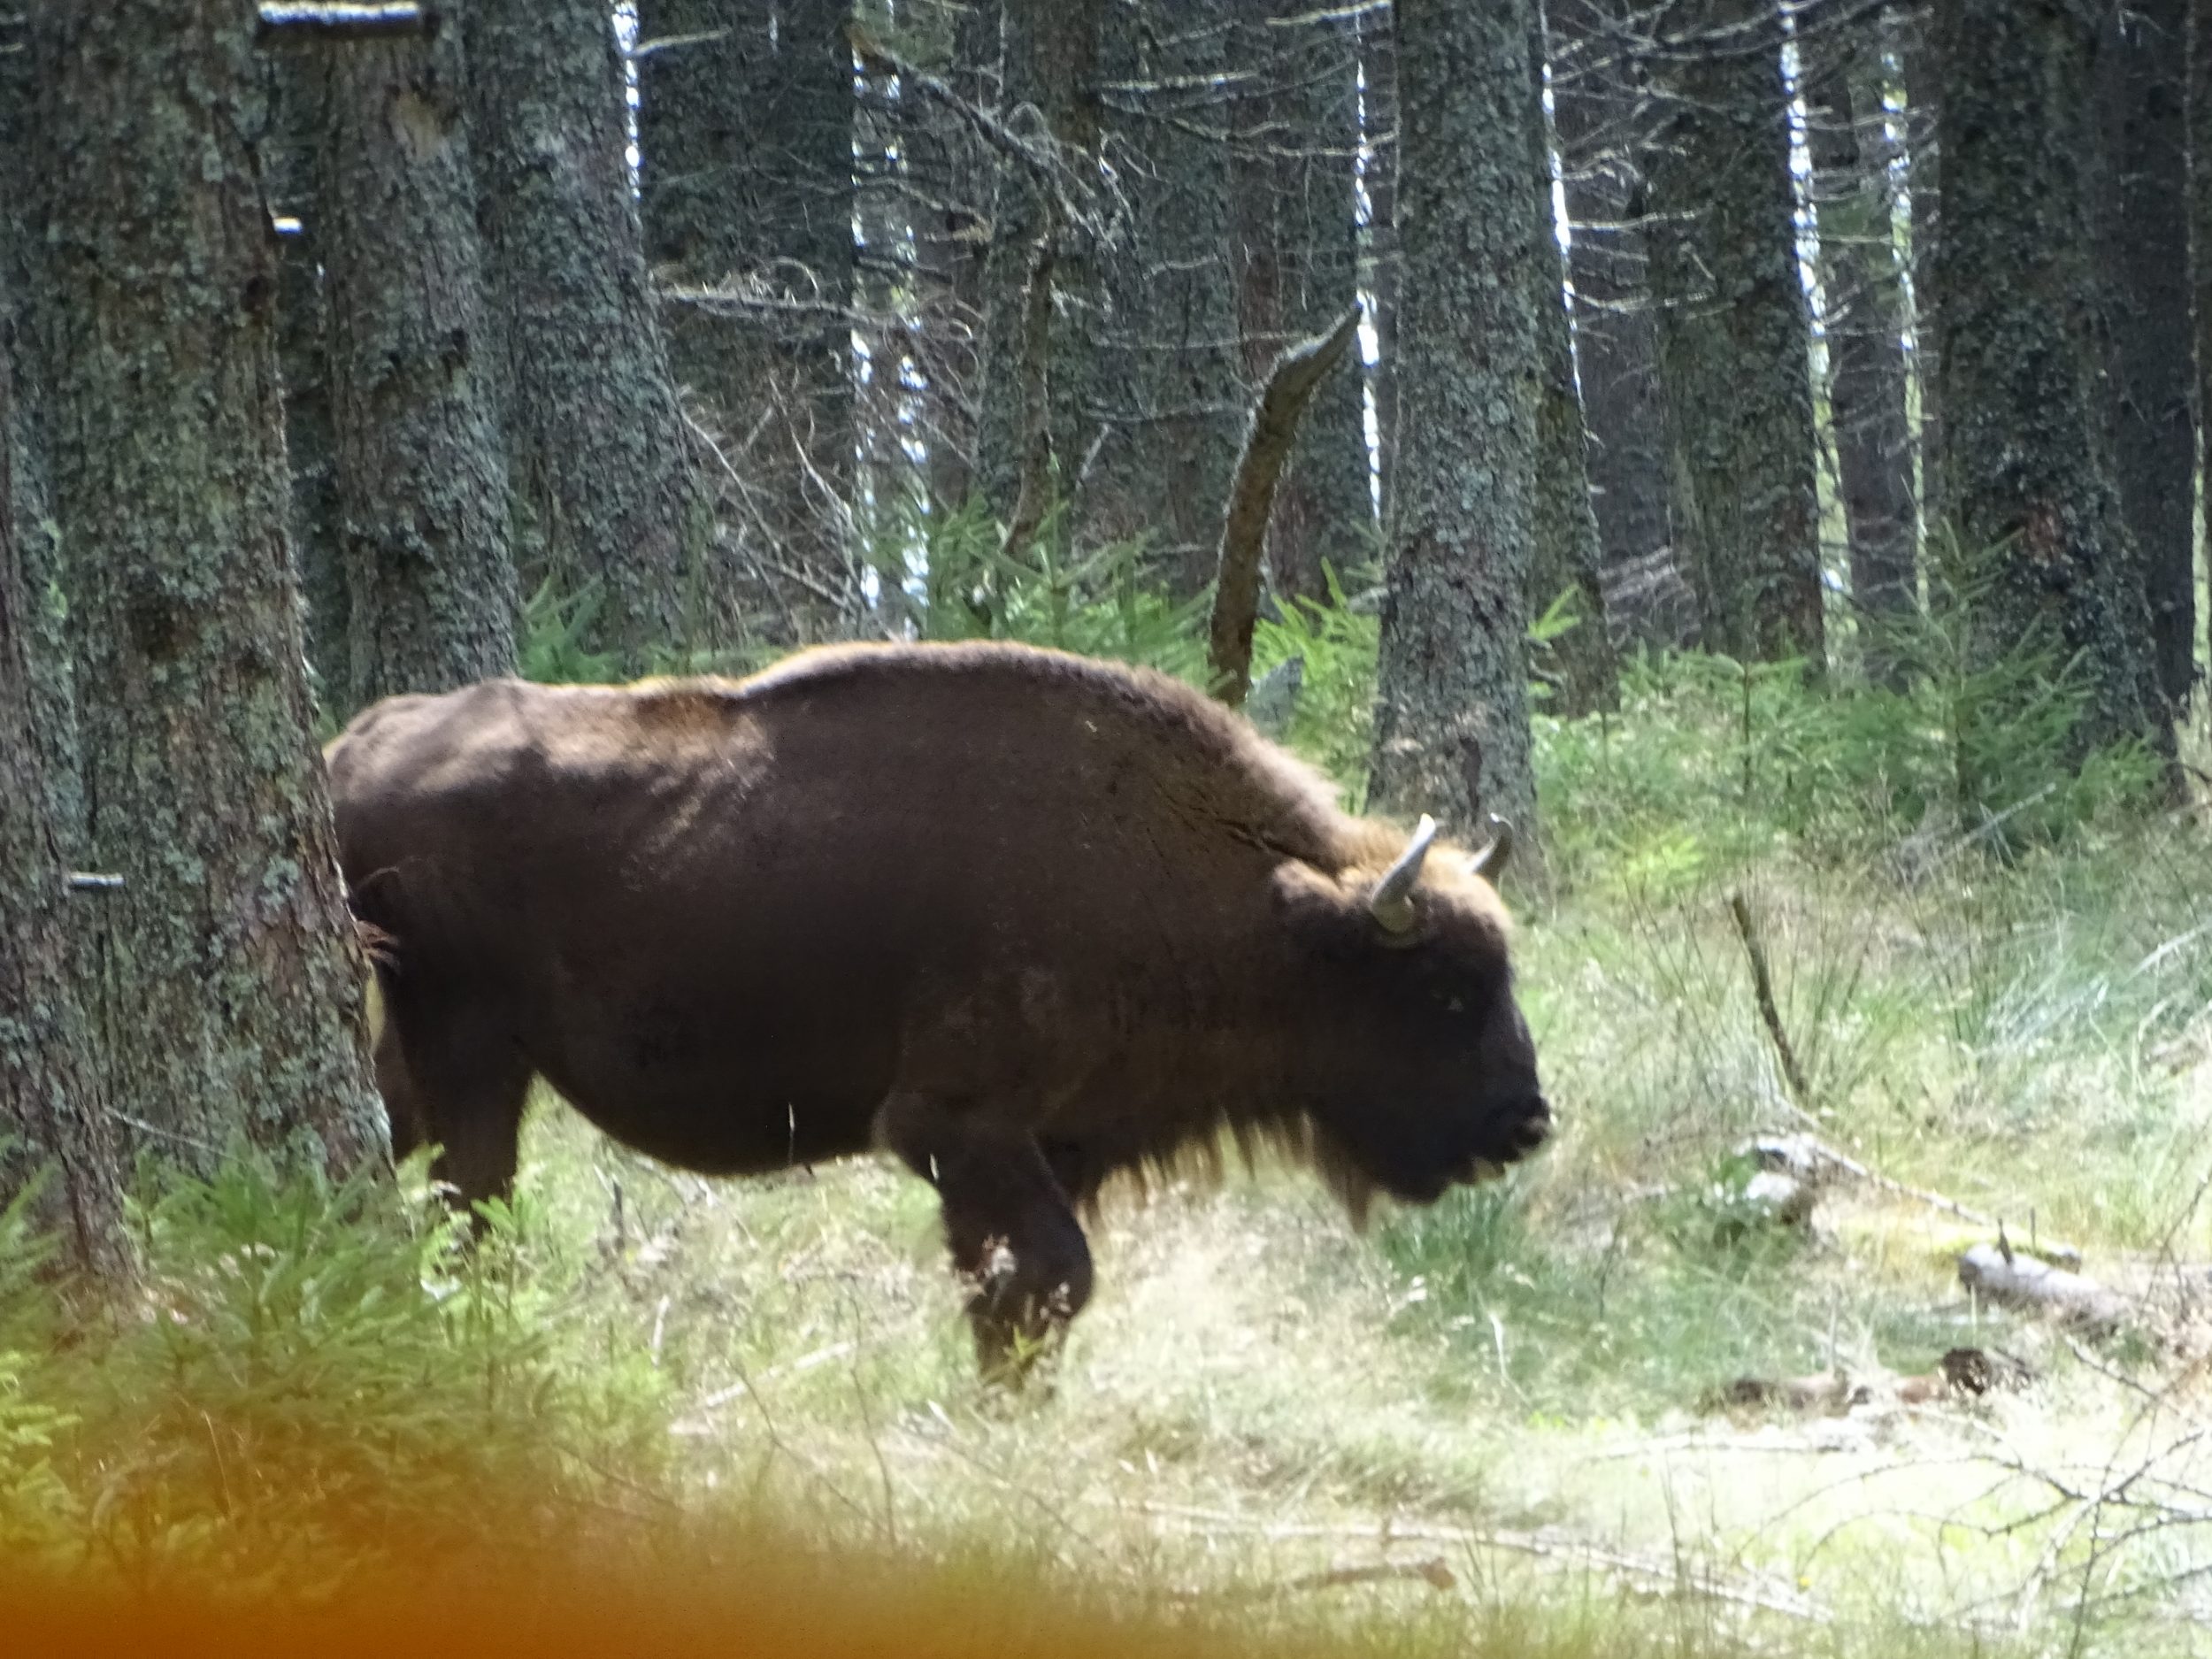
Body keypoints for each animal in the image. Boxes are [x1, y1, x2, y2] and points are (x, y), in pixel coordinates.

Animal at [326, 642, 1552, 1372]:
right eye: (1444, 990)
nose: (1525, 1124)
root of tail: (352, 747)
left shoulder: (1052, 1146)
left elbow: (1026, 1288)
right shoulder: (954, 1127)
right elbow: (1049, 1281)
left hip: (436, 1051)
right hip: (471, 1049)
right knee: (471, 1205)